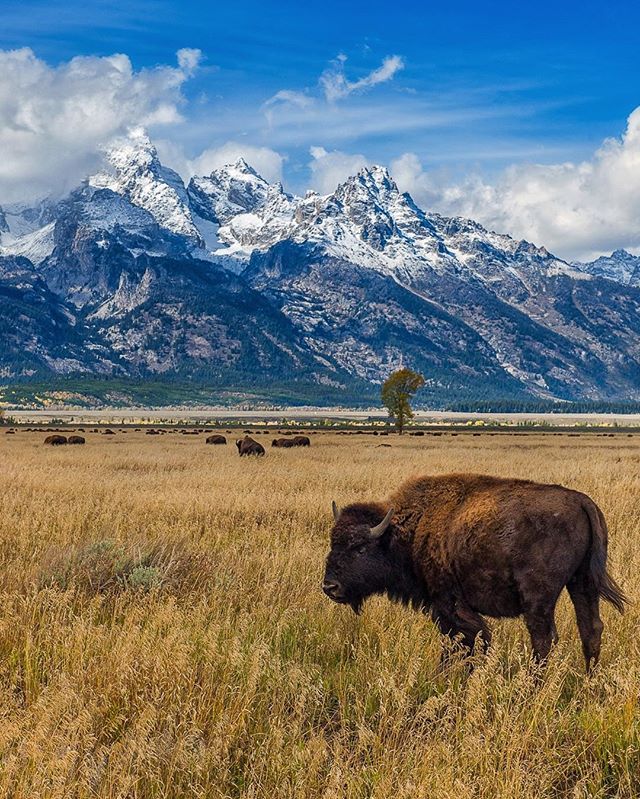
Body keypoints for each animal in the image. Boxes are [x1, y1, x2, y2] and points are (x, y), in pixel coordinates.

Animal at [323, 473, 627, 671]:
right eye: (332, 543)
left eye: (360, 548)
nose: (330, 587)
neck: (408, 530)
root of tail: (582, 502)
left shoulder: (448, 604)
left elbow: (464, 642)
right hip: (583, 583)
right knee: (591, 629)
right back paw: (588, 682)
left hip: (539, 595)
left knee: (544, 639)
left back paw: (533, 689)